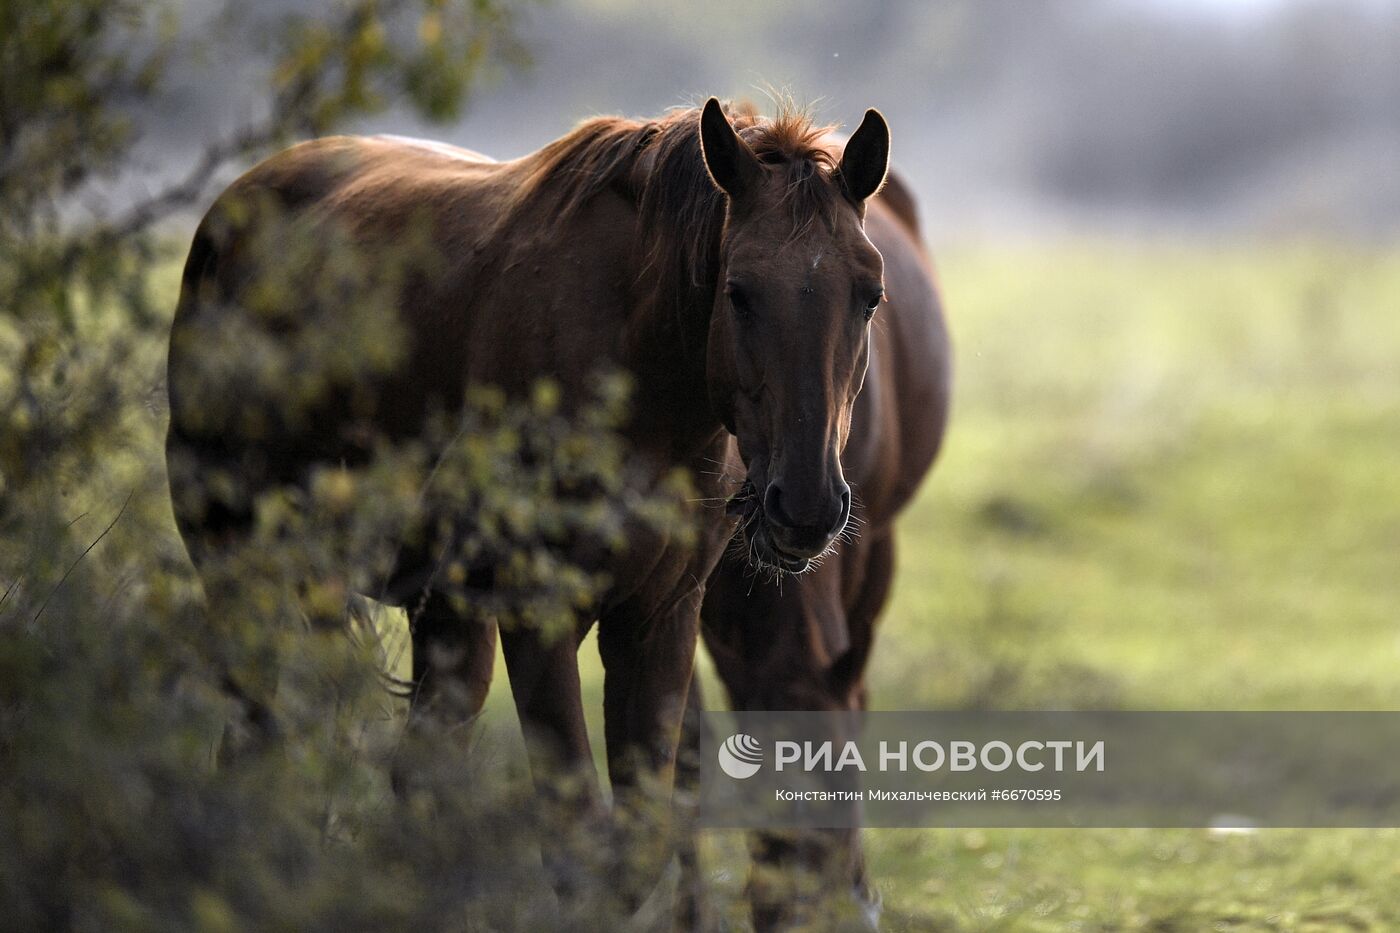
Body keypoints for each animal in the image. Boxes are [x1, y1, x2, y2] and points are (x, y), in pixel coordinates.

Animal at [163, 100, 935, 913]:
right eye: (739, 290)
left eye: (870, 293)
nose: (807, 505)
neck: (637, 386)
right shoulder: (540, 614)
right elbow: (578, 842)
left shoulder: (657, 622)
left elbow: (641, 840)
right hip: (243, 562)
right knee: (263, 731)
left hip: (434, 611)